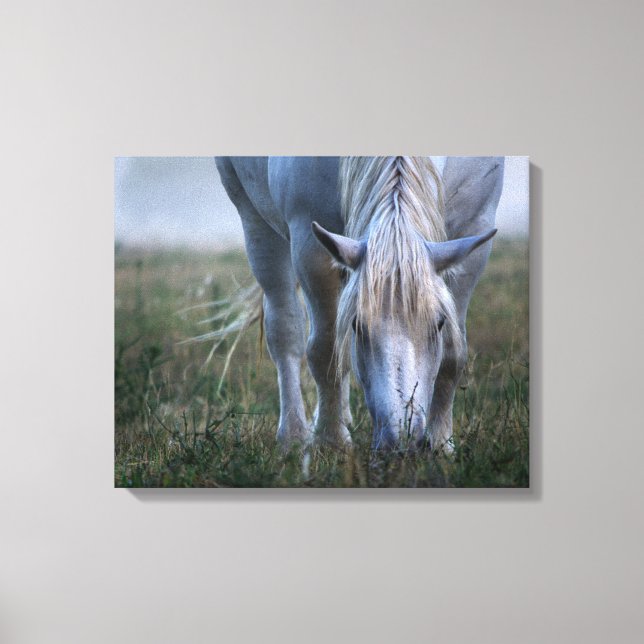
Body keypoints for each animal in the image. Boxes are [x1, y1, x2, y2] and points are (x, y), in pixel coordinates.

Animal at [215, 156, 504, 450]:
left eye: (439, 323)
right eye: (357, 325)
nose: (401, 441)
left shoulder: (475, 232)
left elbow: (453, 355)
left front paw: (441, 444)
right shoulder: (310, 244)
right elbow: (326, 349)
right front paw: (331, 441)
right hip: (257, 223)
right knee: (285, 331)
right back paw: (294, 436)